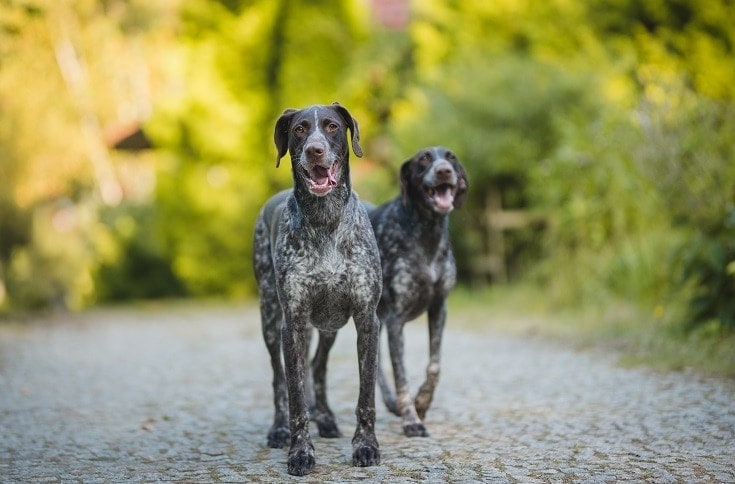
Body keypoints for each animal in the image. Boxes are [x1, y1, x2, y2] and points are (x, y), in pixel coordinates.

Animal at [253, 103, 382, 476]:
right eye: (299, 129)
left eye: (331, 126)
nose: (314, 150)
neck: (325, 219)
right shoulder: (292, 323)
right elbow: (295, 396)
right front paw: (300, 452)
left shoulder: (367, 319)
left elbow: (366, 395)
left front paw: (366, 446)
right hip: (271, 320)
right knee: (280, 380)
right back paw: (279, 428)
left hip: (328, 326)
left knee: (319, 367)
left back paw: (325, 418)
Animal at [370, 147, 468, 438]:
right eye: (424, 159)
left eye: (451, 157)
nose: (444, 170)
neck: (427, 232)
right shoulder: (396, 321)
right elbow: (401, 377)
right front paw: (411, 420)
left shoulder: (439, 308)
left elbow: (434, 366)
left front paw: (422, 402)